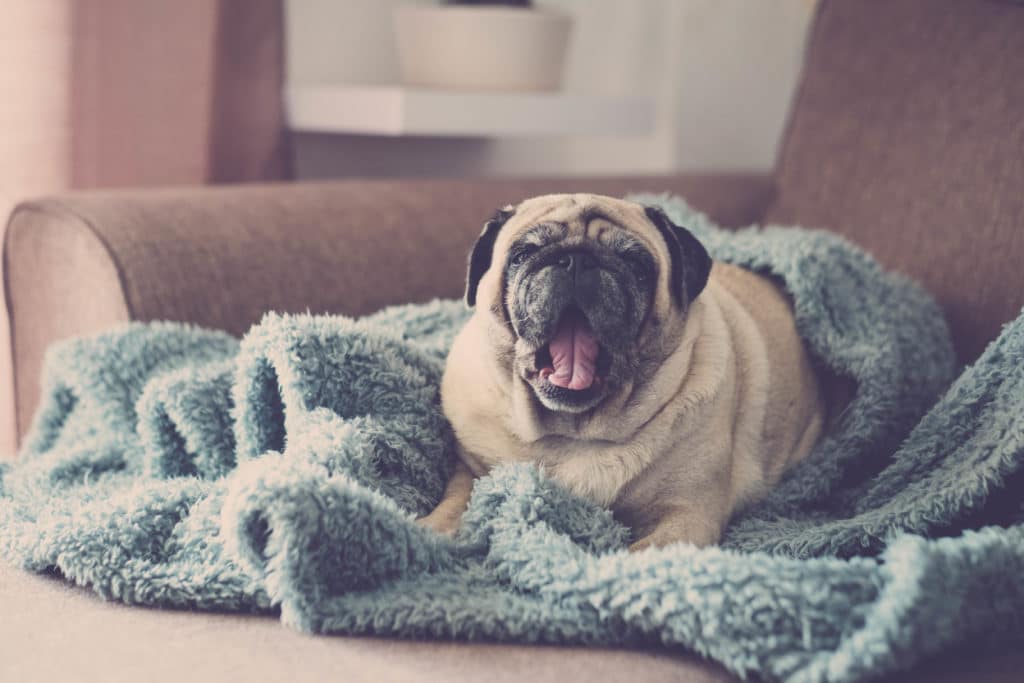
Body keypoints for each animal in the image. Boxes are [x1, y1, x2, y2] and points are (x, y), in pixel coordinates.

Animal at [419, 193, 827, 548]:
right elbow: (457, 500)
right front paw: (426, 532)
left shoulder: (686, 516)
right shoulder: (471, 470)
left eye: (636, 264)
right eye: (522, 254)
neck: (571, 434)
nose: (576, 260)